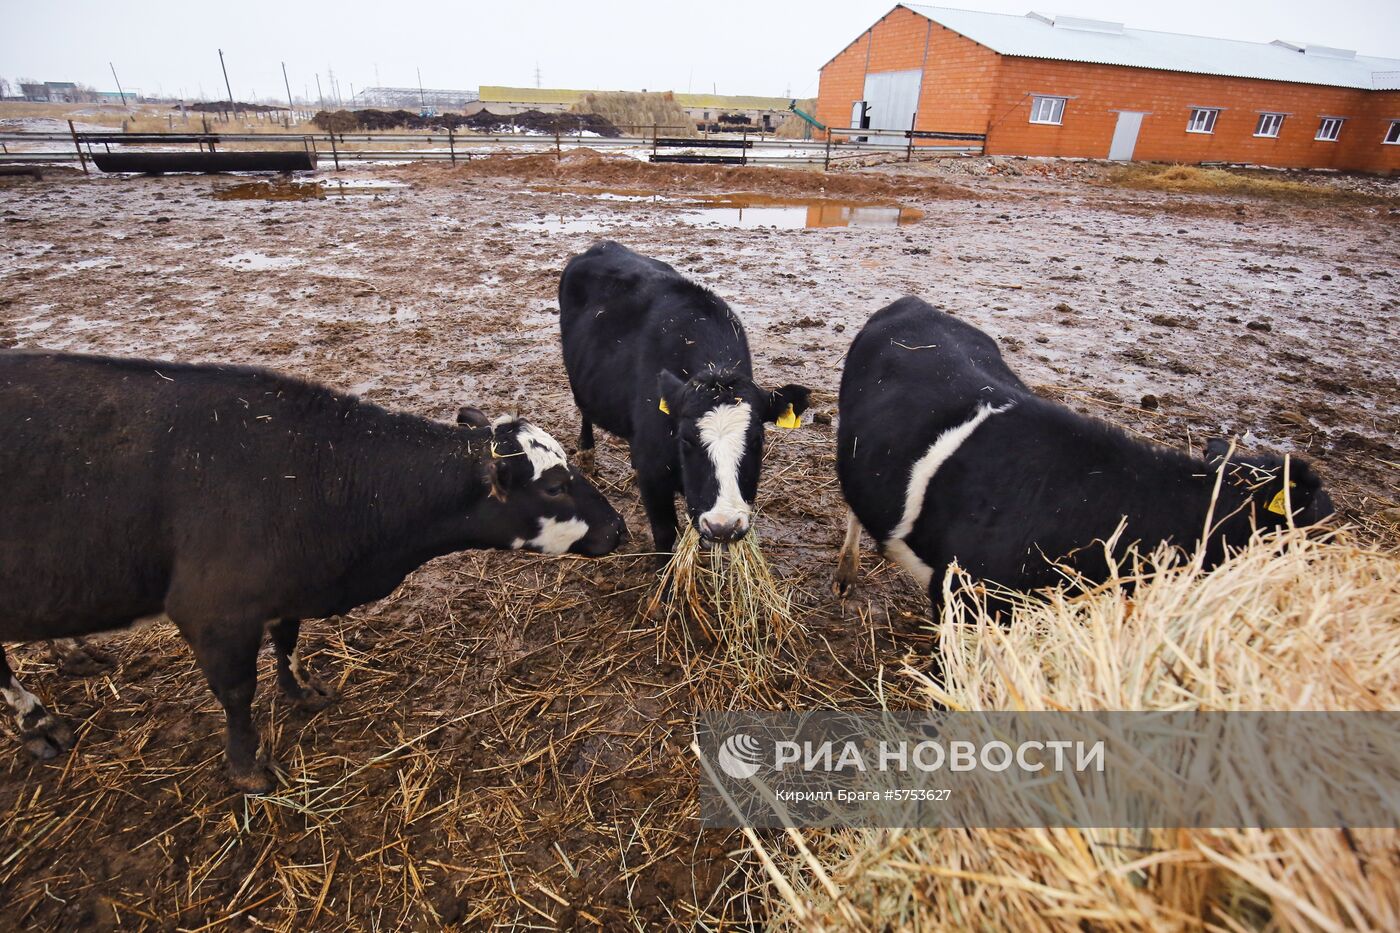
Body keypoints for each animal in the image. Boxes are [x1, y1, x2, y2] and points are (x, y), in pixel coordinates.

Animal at [0, 353, 624, 790]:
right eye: (555, 485)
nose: (619, 527)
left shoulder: (285, 591)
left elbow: (288, 641)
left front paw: (301, 690)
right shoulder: (214, 612)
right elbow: (237, 691)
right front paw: (246, 767)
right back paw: (37, 722)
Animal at [557, 239, 812, 551]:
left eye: (757, 440)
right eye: (686, 439)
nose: (723, 525)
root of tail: (603, 245)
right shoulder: (654, 479)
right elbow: (665, 534)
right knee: (584, 410)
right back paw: (586, 453)